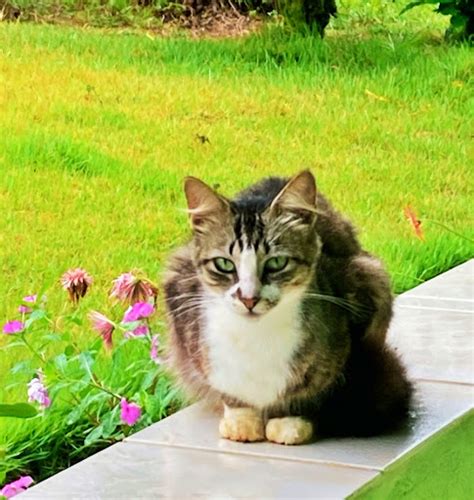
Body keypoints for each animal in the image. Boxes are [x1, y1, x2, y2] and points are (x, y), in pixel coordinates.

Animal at [165, 170, 412, 444]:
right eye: (224, 264)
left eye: (277, 262)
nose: (248, 299)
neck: (257, 337)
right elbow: (232, 394)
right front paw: (242, 422)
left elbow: (308, 394)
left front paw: (288, 423)